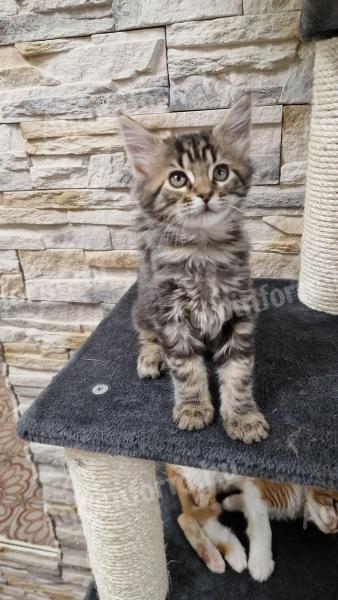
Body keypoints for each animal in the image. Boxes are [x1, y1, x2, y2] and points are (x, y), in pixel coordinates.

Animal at [119, 98, 270, 442]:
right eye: (178, 178)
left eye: (221, 172)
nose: (205, 194)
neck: (203, 249)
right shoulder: (170, 313)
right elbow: (186, 368)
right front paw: (193, 409)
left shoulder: (240, 309)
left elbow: (239, 370)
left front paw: (243, 416)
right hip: (144, 306)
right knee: (147, 336)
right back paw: (151, 357)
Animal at [169, 464, 338, 580]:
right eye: (335, 502)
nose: (334, 529)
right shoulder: (257, 487)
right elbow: (262, 529)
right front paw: (261, 561)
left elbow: (243, 503)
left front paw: (232, 501)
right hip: (204, 482)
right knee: (187, 517)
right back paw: (221, 555)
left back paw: (226, 553)